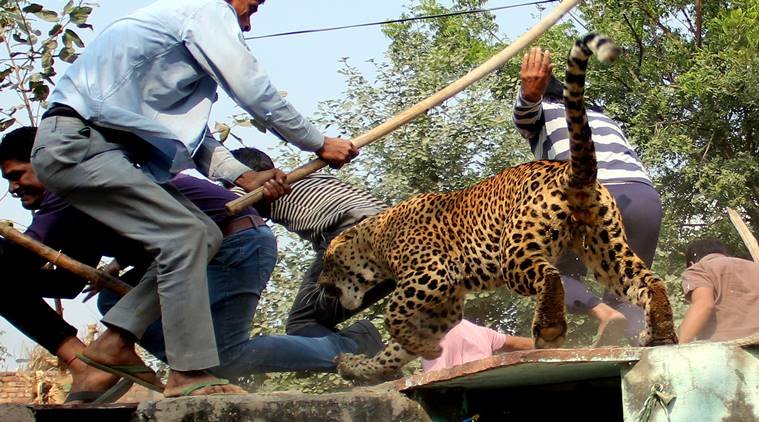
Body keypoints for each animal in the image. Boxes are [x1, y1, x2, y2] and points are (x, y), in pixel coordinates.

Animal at [318, 33, 680, 382]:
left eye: (328, 262)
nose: (321, 284)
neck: (375, 241)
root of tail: (569, 171)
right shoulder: (441, 308)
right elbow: (392, 350)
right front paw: (359, 366)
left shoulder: (430, 274)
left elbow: (392, 315)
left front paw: (424, 351)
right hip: (607, 248)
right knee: (646, 280)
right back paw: (659, 332)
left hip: (516, 253)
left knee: (551, 276)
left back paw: (550, 330)